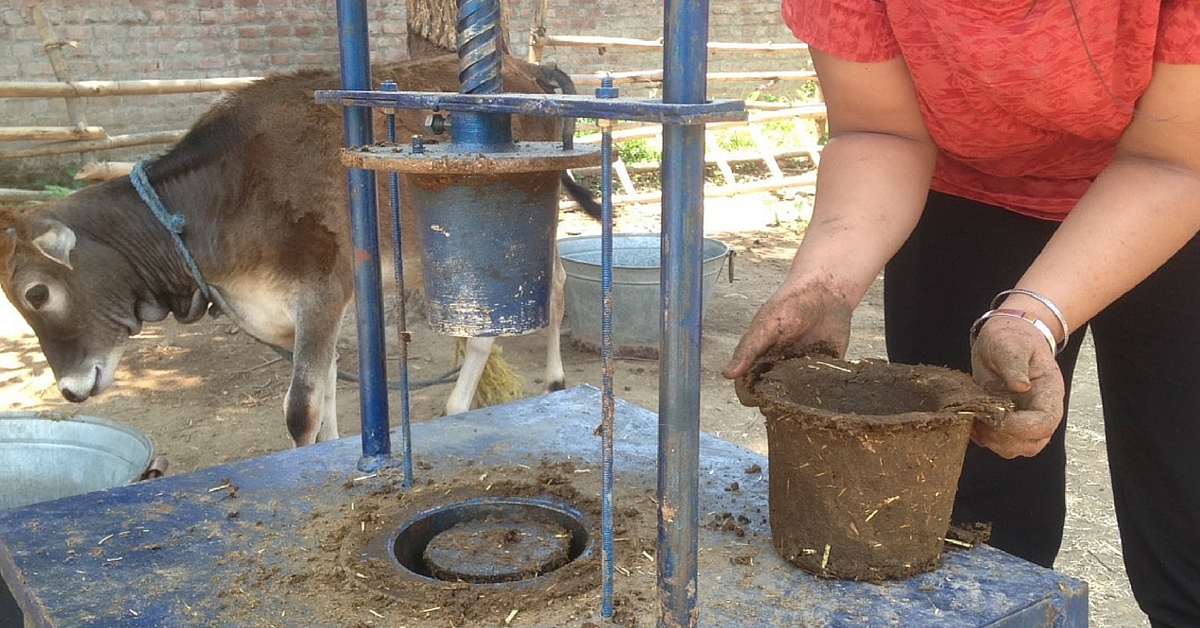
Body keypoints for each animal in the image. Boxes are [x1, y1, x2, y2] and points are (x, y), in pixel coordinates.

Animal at [0, 54, 600, 446]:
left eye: (37, 293)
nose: (70, 392)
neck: (224, 196)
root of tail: (530, 70)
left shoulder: (320, 295)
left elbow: (301, 411)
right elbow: (329, 399)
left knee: (550, 293)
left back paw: (550, 380)